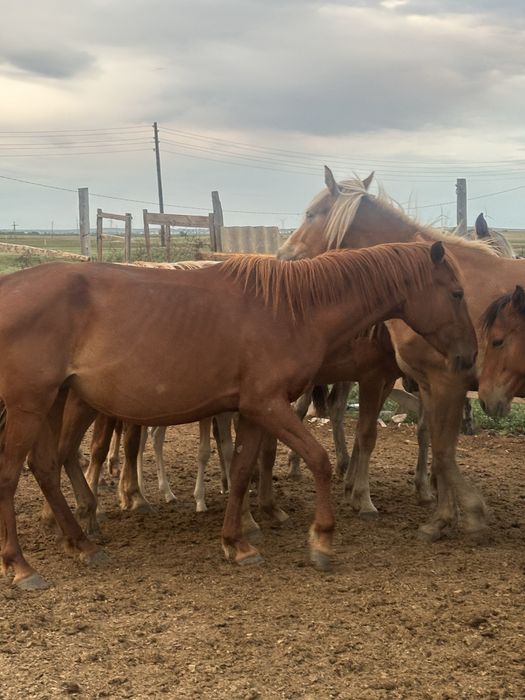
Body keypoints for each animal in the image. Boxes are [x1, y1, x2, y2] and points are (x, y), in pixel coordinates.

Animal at [0, 245, 475, 589]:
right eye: (456, 293)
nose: (468, 358)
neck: (292, 309)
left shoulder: (252, 410)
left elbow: (244, 468)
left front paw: (237, 542)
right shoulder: (269, 404)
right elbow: (319, 460)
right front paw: (322, 539)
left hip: (54, 401)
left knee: (46, 465)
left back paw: (82, 543)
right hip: (31, 404)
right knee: (13, 474)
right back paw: (21, 565)